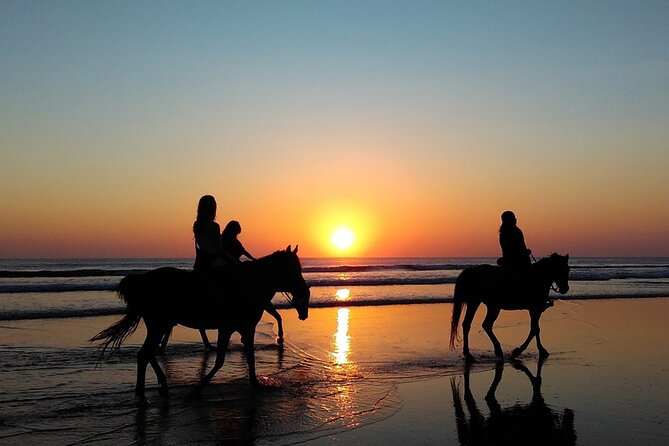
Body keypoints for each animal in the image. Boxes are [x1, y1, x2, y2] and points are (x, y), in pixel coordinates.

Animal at [91, 246, 310, 398]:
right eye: (293, 269)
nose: (304, 292)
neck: (247, 285)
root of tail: (142, 280)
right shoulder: (229, 328)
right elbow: (222, 359)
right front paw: (199, 388)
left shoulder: (244, 329)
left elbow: (249, 357)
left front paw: (255, 384)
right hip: (159, 324)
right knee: (145, 354)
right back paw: (146, 390)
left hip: (159, 325)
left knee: (148, 353)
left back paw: (158, 385)